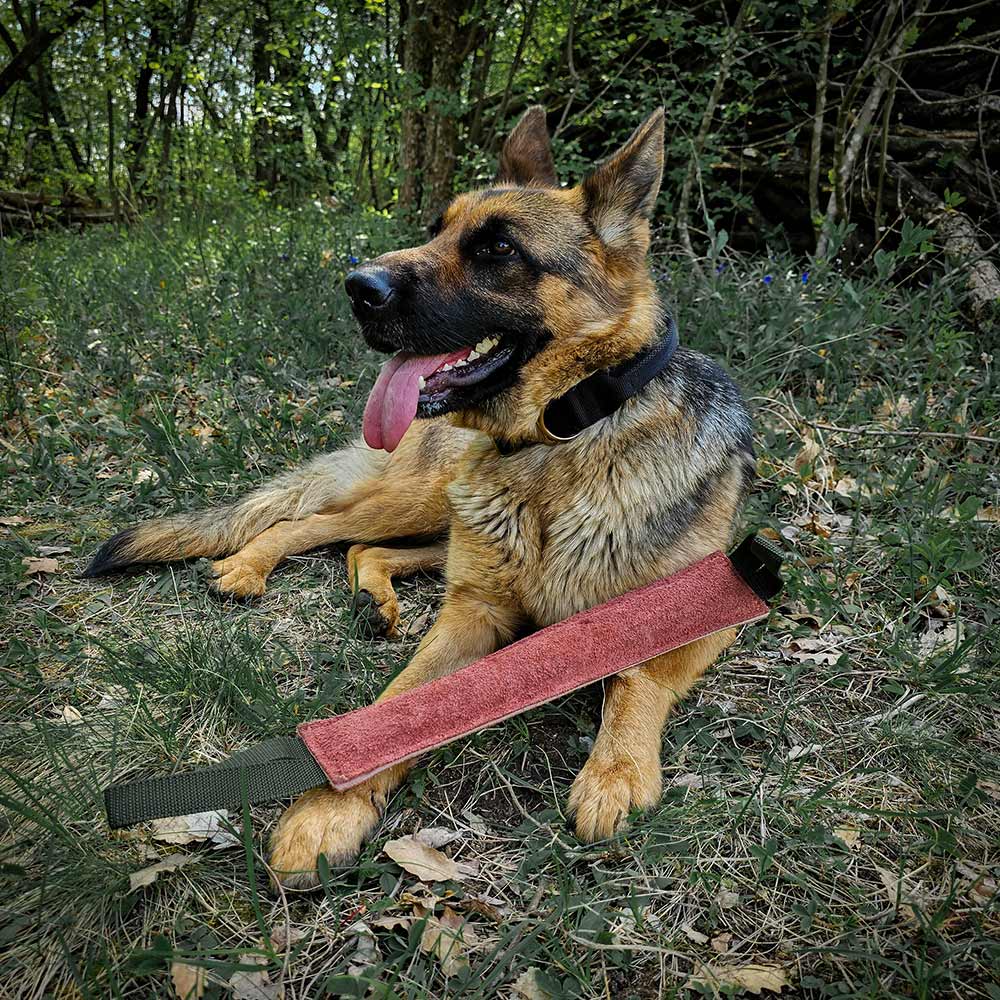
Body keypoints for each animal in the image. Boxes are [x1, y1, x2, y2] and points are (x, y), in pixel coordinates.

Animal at [90, 109, 752, 888]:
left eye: (497, 248)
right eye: (436, 229)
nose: (356, 287)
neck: (563, 439)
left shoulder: (707, 606)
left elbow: (637, 676)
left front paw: (615, 771)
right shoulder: (473, 613)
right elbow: (400, 703)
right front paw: (329, 806)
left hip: (448, 520)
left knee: (364, 547)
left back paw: (372, 596)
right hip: (429, 502)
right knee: (312, 524)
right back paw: (252, 567)